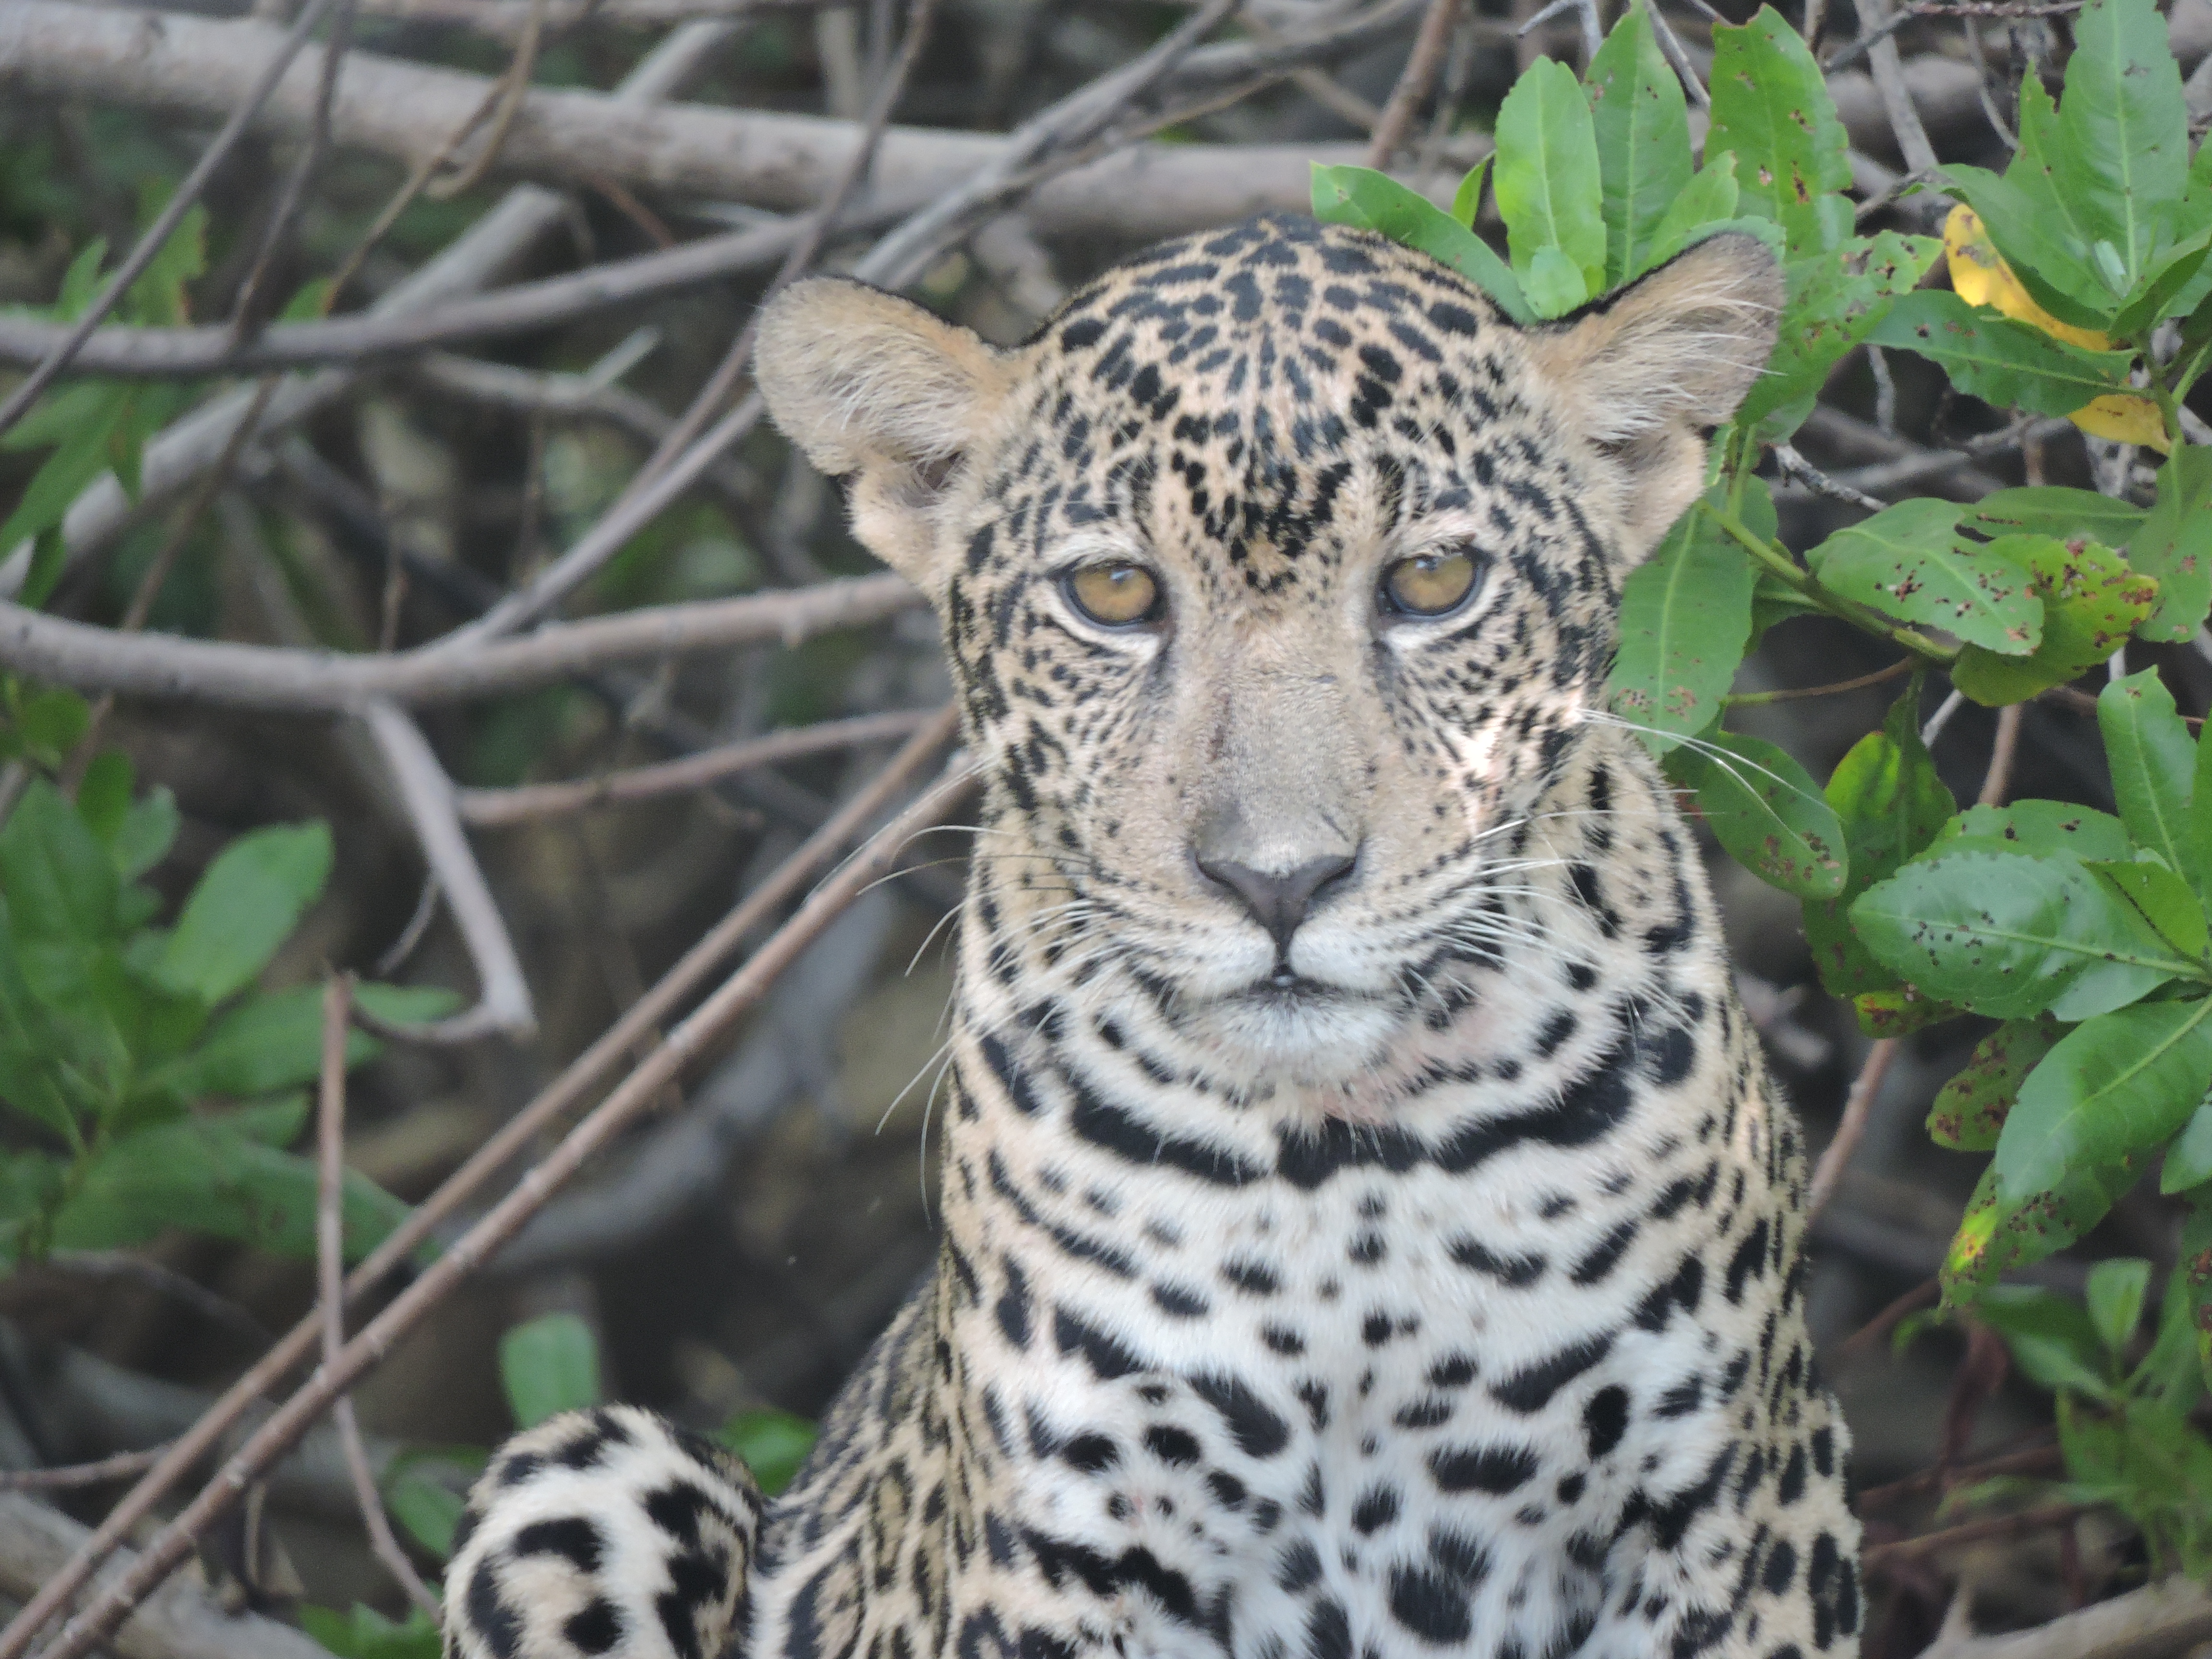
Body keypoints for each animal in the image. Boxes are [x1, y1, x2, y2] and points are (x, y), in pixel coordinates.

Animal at [442, 211, 1861, 1659]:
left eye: (1434, 579)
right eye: (1117, 592)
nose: (1281, 881)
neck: (1346, 1163)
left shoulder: (1730, 1522)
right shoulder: (1072, 1549)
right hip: (581, 1474)